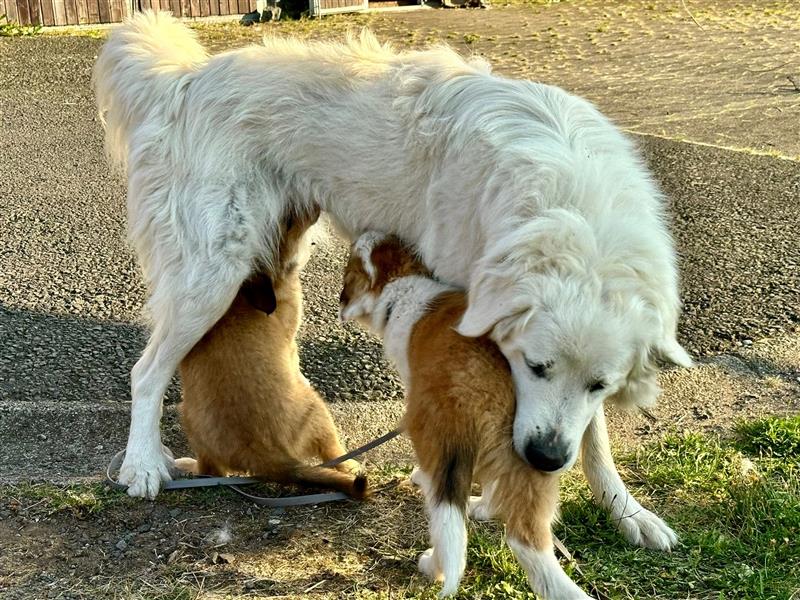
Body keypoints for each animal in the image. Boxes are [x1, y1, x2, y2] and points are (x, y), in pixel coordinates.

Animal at [175, 209, 368, 500]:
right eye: (287, 222)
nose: (314, 207)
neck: (242, 292)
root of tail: (264, 456)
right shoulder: (291, 344)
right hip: (318, 409)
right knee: (334, 453)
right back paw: (351, 464)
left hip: (189, 419)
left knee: (211, 470)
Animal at [338, 231, 588, 600]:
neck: (402, 285)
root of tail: (473, 393)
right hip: (532, 459)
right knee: (522, 527)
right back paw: (485, 508)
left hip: (438, 446)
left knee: (447, 527)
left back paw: (433, 563)